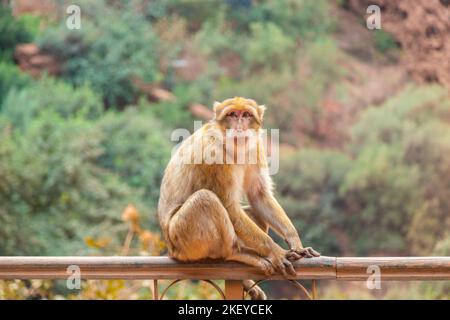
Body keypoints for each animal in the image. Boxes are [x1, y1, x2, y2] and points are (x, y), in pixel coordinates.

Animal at [158, 96, 320, 298]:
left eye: (247, 115)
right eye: (232, 114)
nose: (240, 125)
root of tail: (171, 249)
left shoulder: (256, 147)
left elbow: (258, 195)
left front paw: (295, 242)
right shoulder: (213, 153)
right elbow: (228, 206)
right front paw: (276, 251)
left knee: (253, 211)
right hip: (183, 239)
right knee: (205, 199)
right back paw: (234, 254)